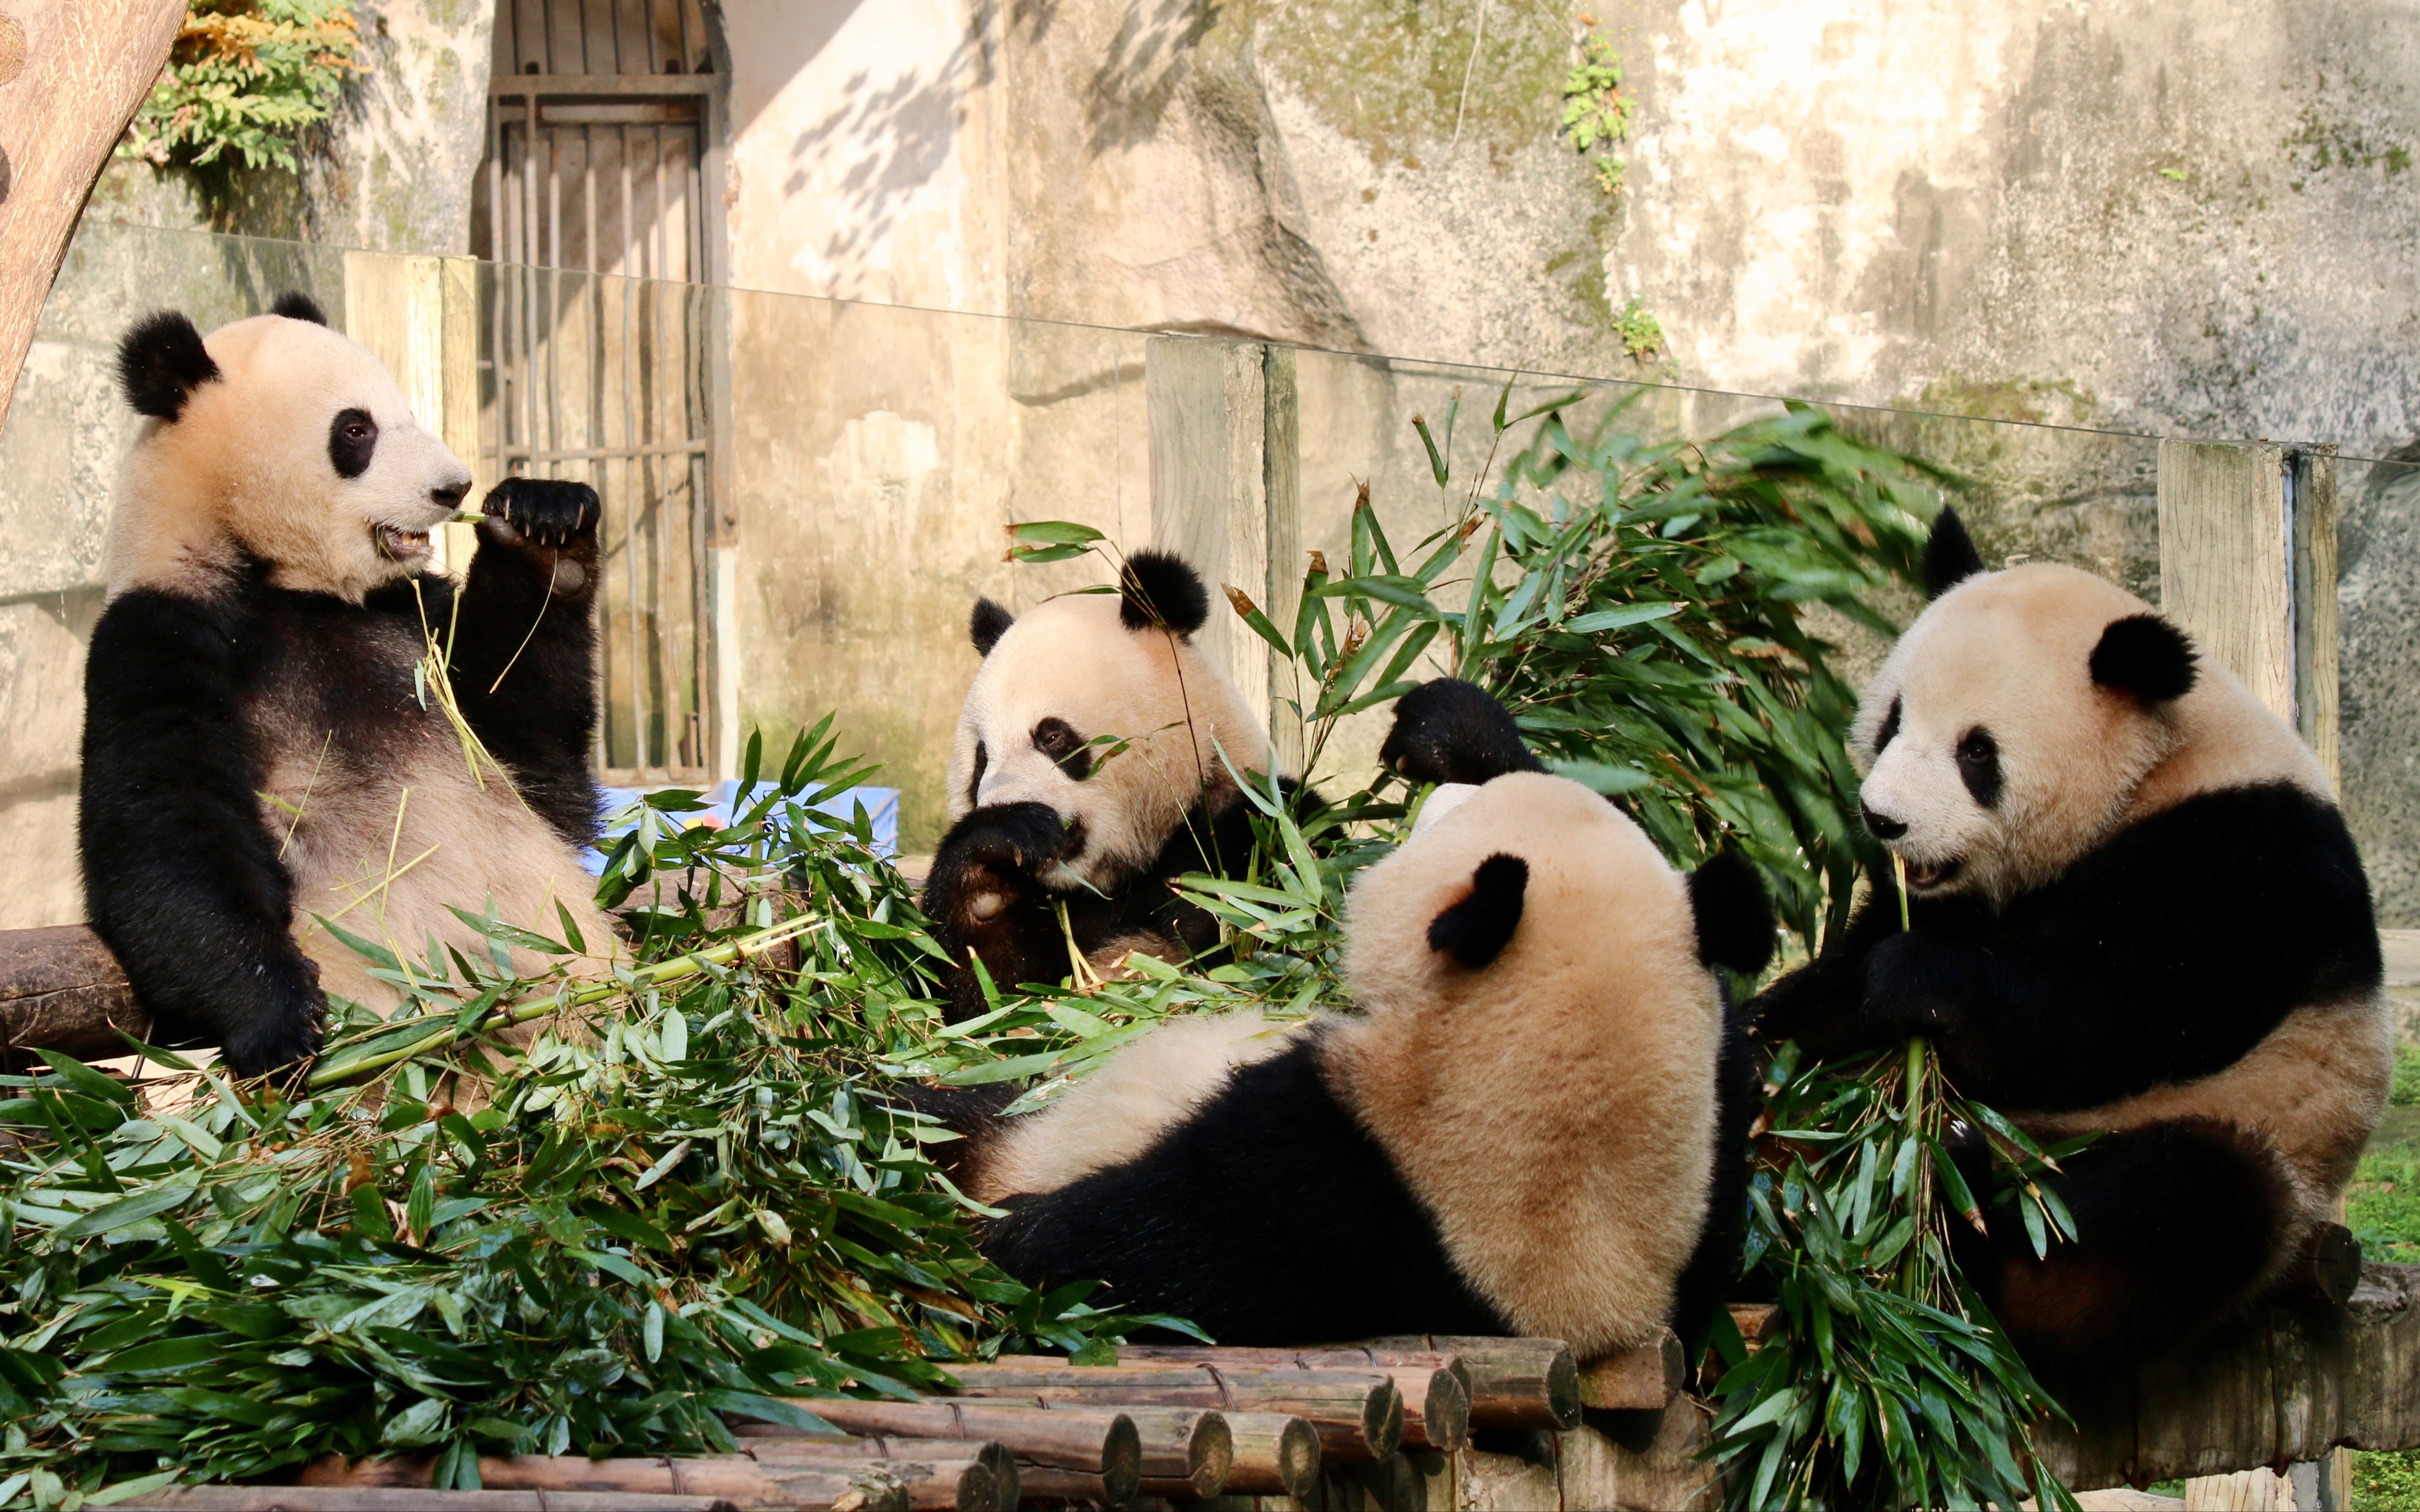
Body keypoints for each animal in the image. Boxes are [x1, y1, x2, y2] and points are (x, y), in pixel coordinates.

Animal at [81, 295, 619, 1074]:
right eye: (356, 430)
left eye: (407, 411)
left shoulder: (413, 624)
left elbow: (540, 774)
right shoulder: (162, 633)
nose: (453, 487)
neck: (286, 581)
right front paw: (277, 1016)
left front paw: (544, 524)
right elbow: (162, 827)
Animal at [919, 554, 1307, 1025]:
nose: (1008, 802)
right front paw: (999, 852)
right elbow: (988, 1002)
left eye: (1052, 736)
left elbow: (1261, 939)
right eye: (982, 757)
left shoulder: (1256, 830)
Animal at [1752, 510, 2391, 1383]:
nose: (1884, 820)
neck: (2155, 764)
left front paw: (1917, 981)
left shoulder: (2253, 861)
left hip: (2261, 1129)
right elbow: (1820, 1002)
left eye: (1976, 751)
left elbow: (2116, 1005)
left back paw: (1968, 1215)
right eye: (1892, 720)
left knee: (2175, 1204)